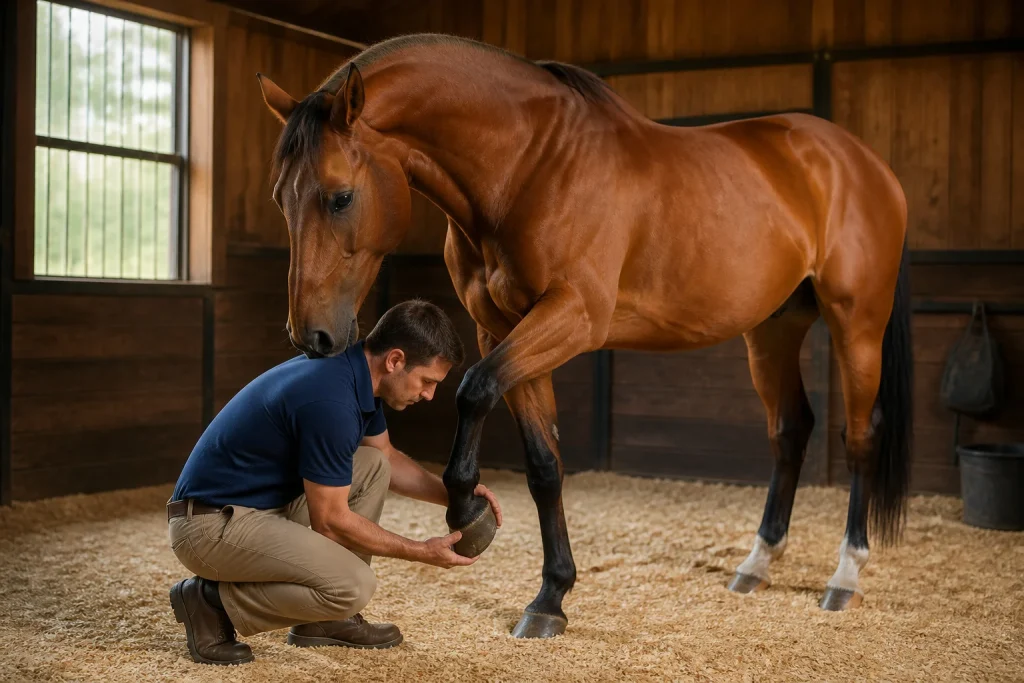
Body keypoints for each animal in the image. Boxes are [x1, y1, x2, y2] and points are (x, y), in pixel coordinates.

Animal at [257, 33, 913, 639]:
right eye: (280, 200)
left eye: (340, 197)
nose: (311, 335)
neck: (529, 166)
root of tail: (865, 163)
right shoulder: (503, 328)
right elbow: (543, 464)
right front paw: (550, 597)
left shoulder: (571, 318)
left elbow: (473, 389)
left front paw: (467, 507)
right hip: (773, 330)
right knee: (790, 430)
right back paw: (756, 565)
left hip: (856, 322)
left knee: (860, 437)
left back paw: (845, 576)